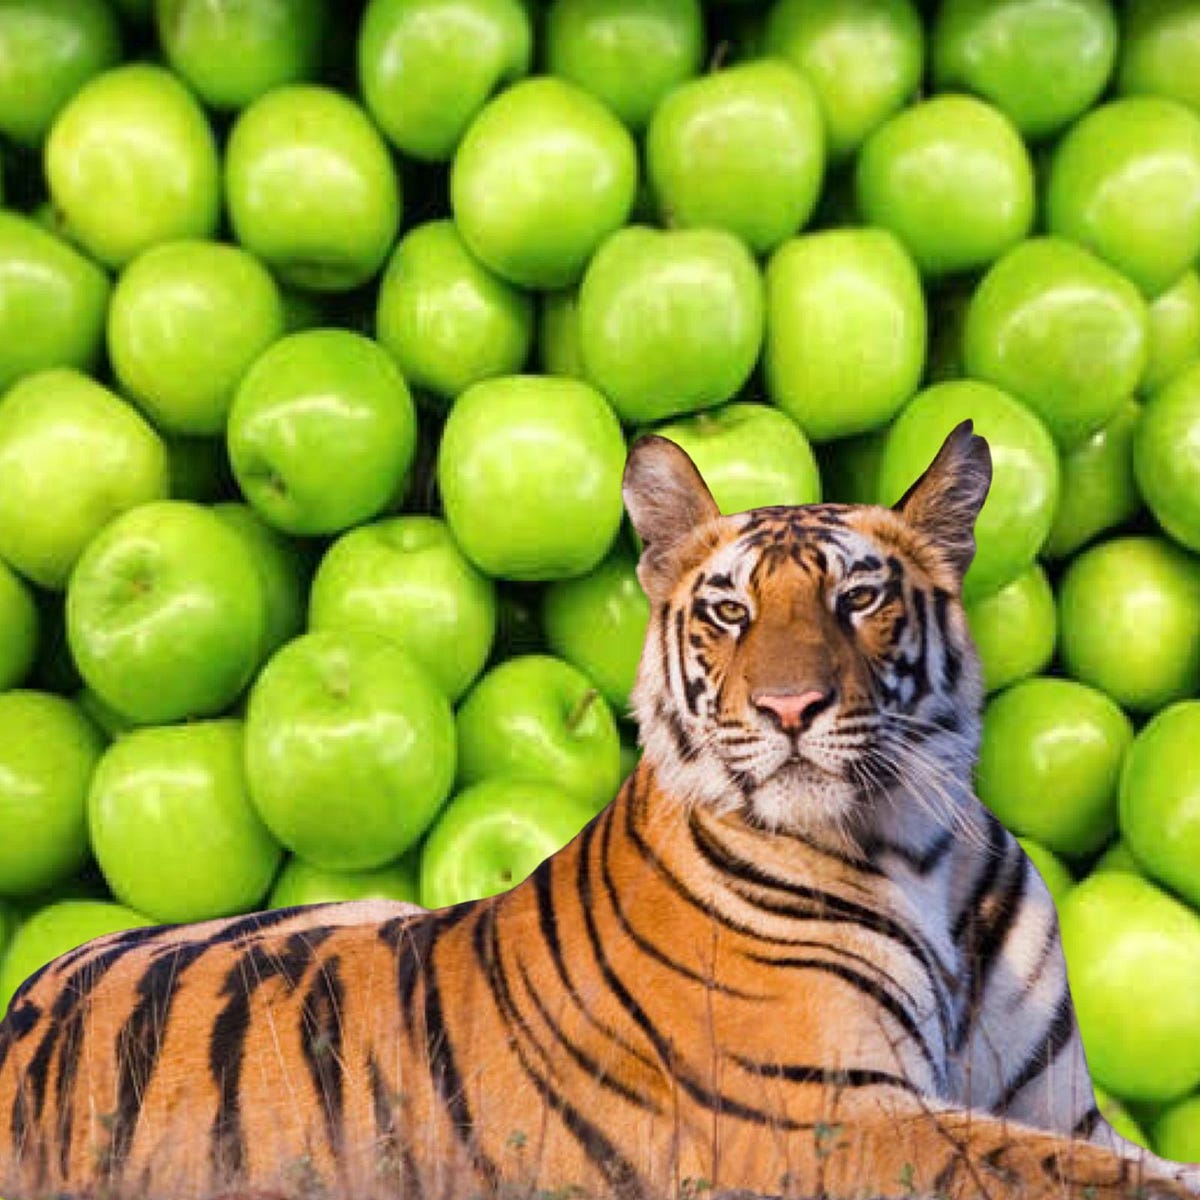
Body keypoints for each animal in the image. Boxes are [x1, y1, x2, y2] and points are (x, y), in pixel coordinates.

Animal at [2, 421, 1198, 1200]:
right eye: (730, 612)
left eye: (860, 597)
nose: (791, 708)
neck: (920, 848)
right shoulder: (825, 1120)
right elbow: (1083, 1179)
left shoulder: (1056, 1102)